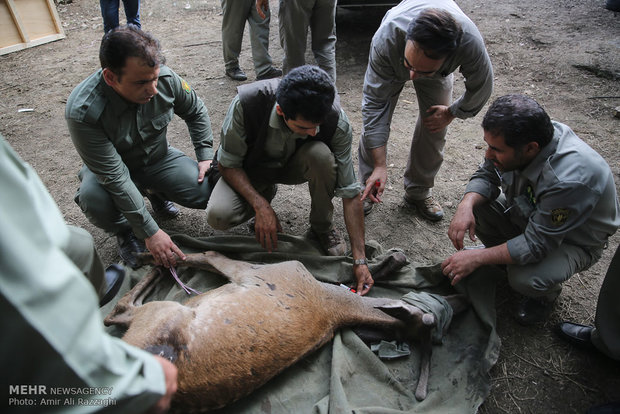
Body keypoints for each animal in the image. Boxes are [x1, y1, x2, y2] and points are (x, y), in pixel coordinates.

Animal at [104, 251, 468, 412]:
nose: (460, 296)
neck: (331, 306)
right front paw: (390, 262)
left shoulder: (266, 270)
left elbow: (207, 254)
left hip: (163, 313)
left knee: (117, 311)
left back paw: (153, 264)